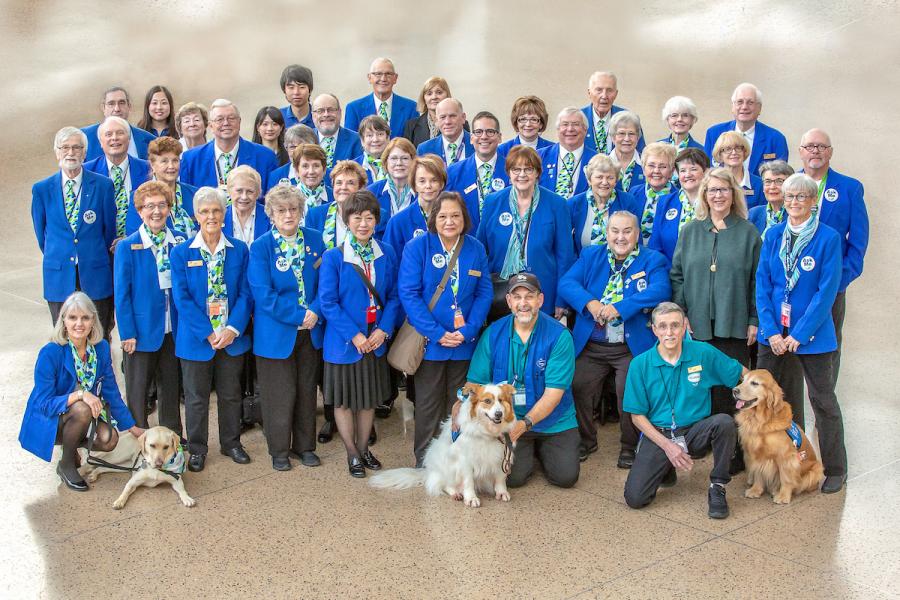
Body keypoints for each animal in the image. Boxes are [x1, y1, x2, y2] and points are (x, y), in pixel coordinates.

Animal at [370, 384, 516, 506]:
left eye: (501, 400)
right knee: (443, 484)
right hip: (444, 465)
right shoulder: (465, 461)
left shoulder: (500, 456)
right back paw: (456, 493)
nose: (499, 414)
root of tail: (428, 471)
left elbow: (500, 478)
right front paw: (471, 498)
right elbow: (468, 481)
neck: (486, 432)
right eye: (487, 401)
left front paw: (501, 492)